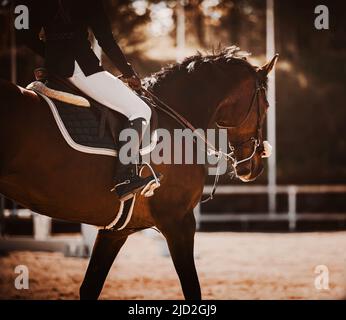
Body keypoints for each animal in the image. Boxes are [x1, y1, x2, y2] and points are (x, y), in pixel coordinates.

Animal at [0, 48, 278, 300]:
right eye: (265, 106)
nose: (255, 166)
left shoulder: (116, 229)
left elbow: (90, 288)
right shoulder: (179, 221)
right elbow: (192, 288)